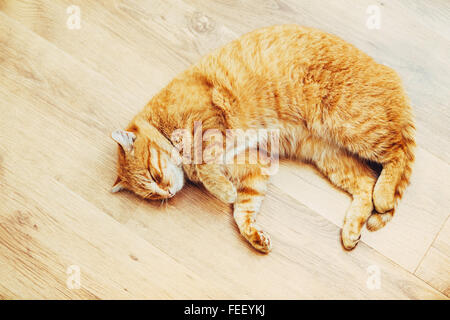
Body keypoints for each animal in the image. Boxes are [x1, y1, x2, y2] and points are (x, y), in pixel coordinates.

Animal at [110, 25, 414, 254]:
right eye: (151, 195)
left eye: (153, 174)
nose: (168, 193)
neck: (163, 121)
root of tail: (388, 72)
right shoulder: (254, 165)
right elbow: (242, 210)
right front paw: (252, 234)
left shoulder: (210, 121)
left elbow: (206, 165)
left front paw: (223, 190)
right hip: (330, 155)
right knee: (365, 182)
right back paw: (351, 230)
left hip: (352, 125)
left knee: (397, 152)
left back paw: (384, 194)